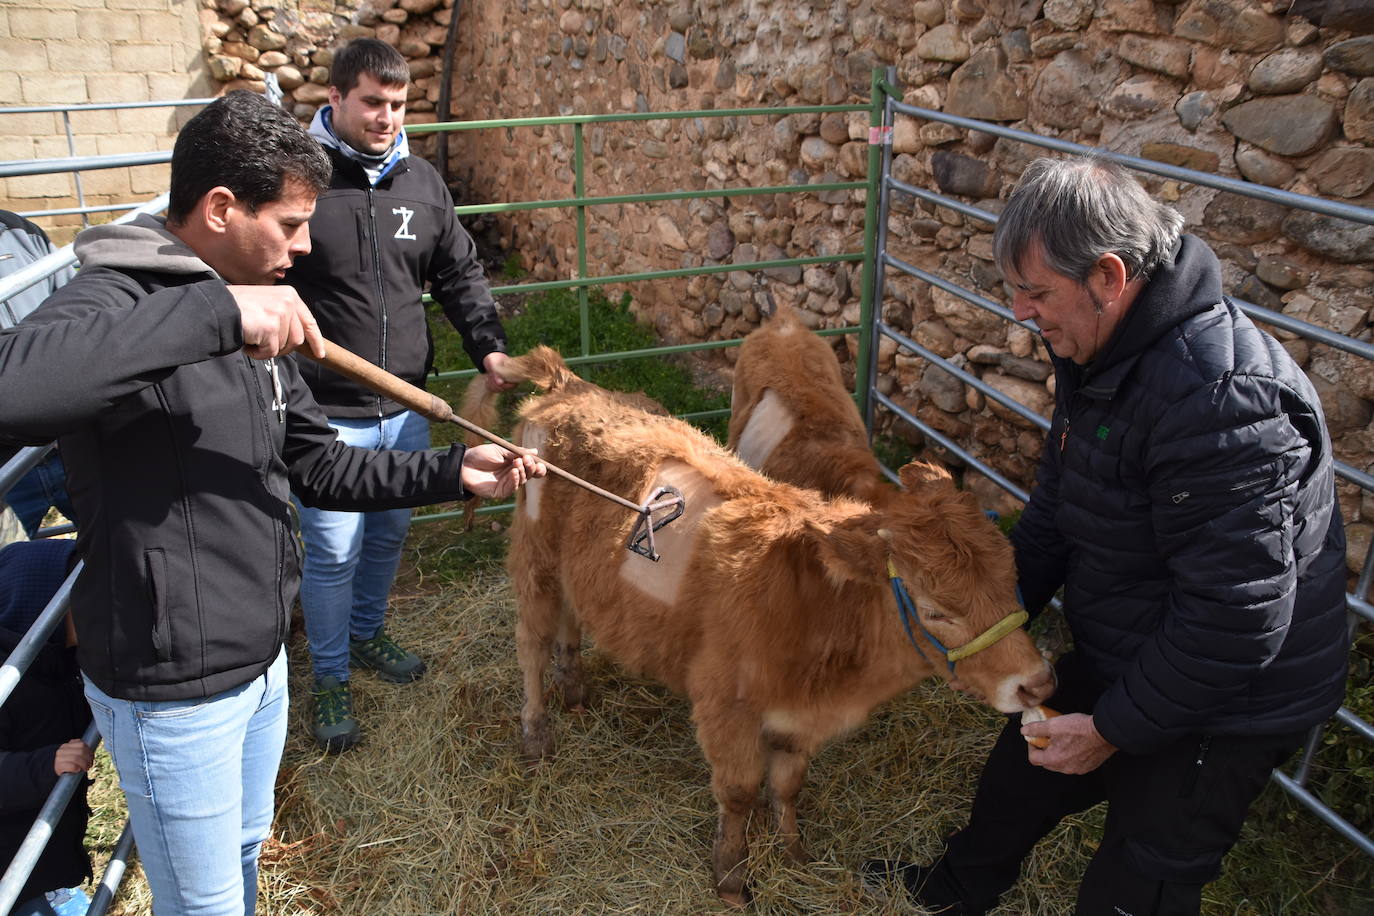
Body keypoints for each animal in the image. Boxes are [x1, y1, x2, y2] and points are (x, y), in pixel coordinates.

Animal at [472, 347, 1049, 906]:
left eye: (1012, 577)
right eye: (935, 610)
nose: (1038, 684)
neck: (816, 615)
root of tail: (568, 383)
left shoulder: (799, 721)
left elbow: (788, 787)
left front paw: (792, 851)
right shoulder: (725, 706)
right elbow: (739, 792)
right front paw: (731, 876)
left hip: (574, 568)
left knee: (571, 620)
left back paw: (574, 689)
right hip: (535, 558)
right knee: (531, 644)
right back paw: (537, 734)